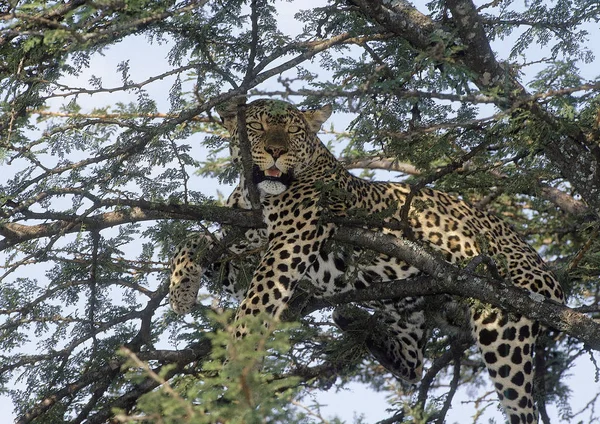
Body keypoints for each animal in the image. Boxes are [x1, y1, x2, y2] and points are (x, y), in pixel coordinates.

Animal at [169, 97, 564, 422]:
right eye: (257, 127)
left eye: (293, 131)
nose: (276, 151)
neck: (255, 196)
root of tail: (551, 275)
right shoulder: (242, 244)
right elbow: (192, 241)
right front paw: (180, 291)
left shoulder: (290, 242)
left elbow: (255, 303)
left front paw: (236, 357)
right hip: (405, 305)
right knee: (413, 362)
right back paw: (357, 322)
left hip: (502, 323)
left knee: (521, 405)